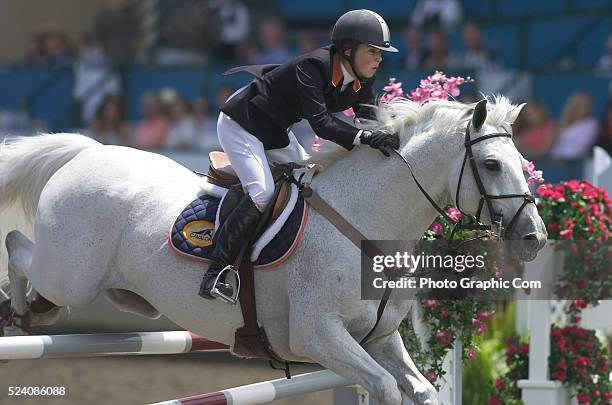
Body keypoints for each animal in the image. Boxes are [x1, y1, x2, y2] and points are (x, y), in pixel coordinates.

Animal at [0, 96, 544, 402]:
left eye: (520, 159)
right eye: (492, 165)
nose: (534, 237)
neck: (363, 222)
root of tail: (90, 152)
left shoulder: (379, 337)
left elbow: (421, 390)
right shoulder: (317, 335)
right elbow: (386, 387)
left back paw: (34, 312)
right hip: (70, 274)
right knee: (17, 247)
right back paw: (20, 309)